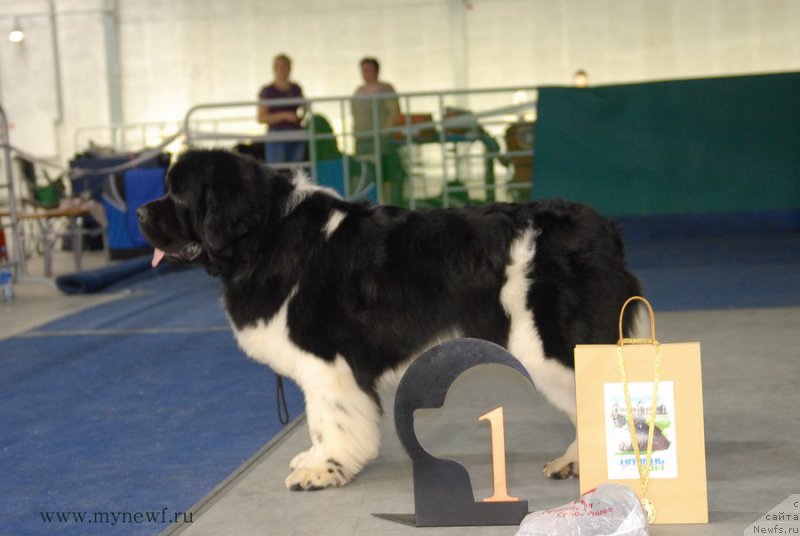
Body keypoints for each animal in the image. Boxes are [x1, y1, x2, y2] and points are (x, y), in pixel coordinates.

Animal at [134, 149, 640, 492]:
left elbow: (329, 417)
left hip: (551, 343)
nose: (138, 212)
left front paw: (324, 468)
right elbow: (319, 418)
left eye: (177, 194)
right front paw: (314, 459)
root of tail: (605, 230)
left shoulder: (326, 361)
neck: (265, 234)